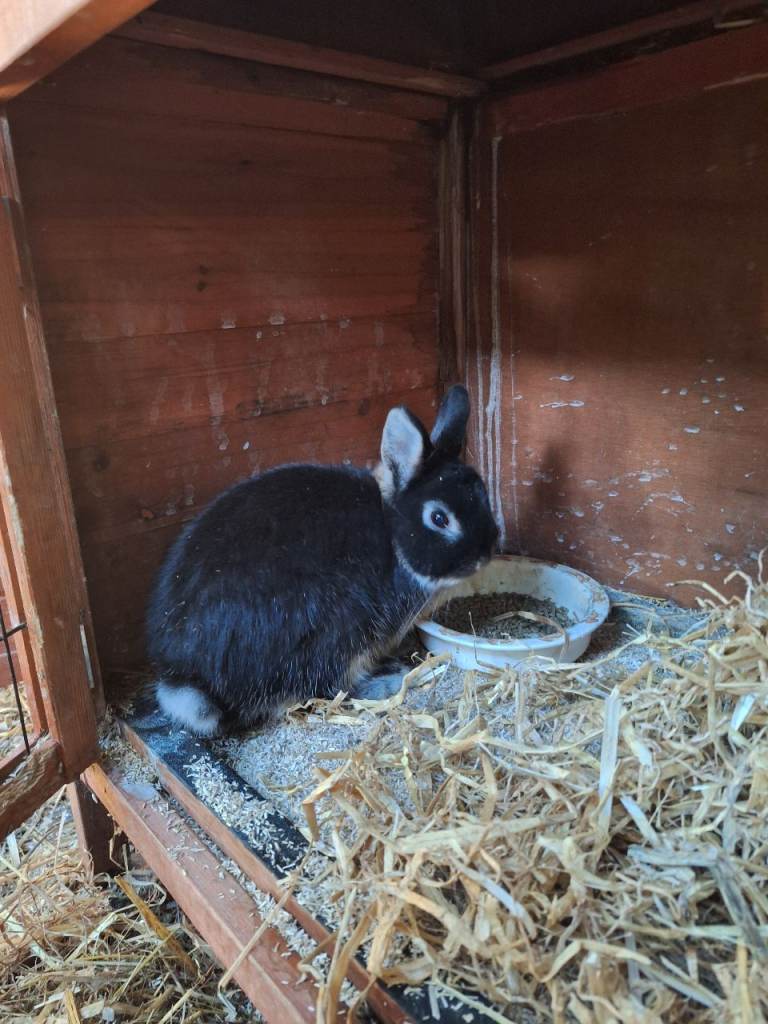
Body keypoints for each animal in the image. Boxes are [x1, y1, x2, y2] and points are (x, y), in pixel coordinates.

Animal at [146, 384, 499, 735]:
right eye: (439, 518)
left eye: (484, 495)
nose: (485, 554)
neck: (391, 535)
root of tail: (187, 678)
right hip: (335, 628)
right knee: (328, 686)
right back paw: (387, 680)